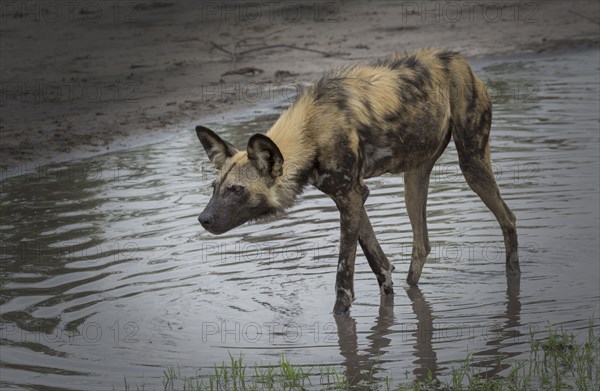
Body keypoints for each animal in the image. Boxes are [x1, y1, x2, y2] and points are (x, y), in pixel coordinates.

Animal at [197, 48, 520, 316]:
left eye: (236, 190)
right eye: (215, 188)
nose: (203, 219)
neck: (310, 131)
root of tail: (460, 60)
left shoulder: (350, 198)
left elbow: (344, 273)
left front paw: (342, 319)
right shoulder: (350, 197)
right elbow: (379, 262)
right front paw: (386, 300)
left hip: (472, 165)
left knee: (508, 218)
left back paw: (514, 283)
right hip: (414, 179)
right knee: (422, 244)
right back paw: (413, 288)